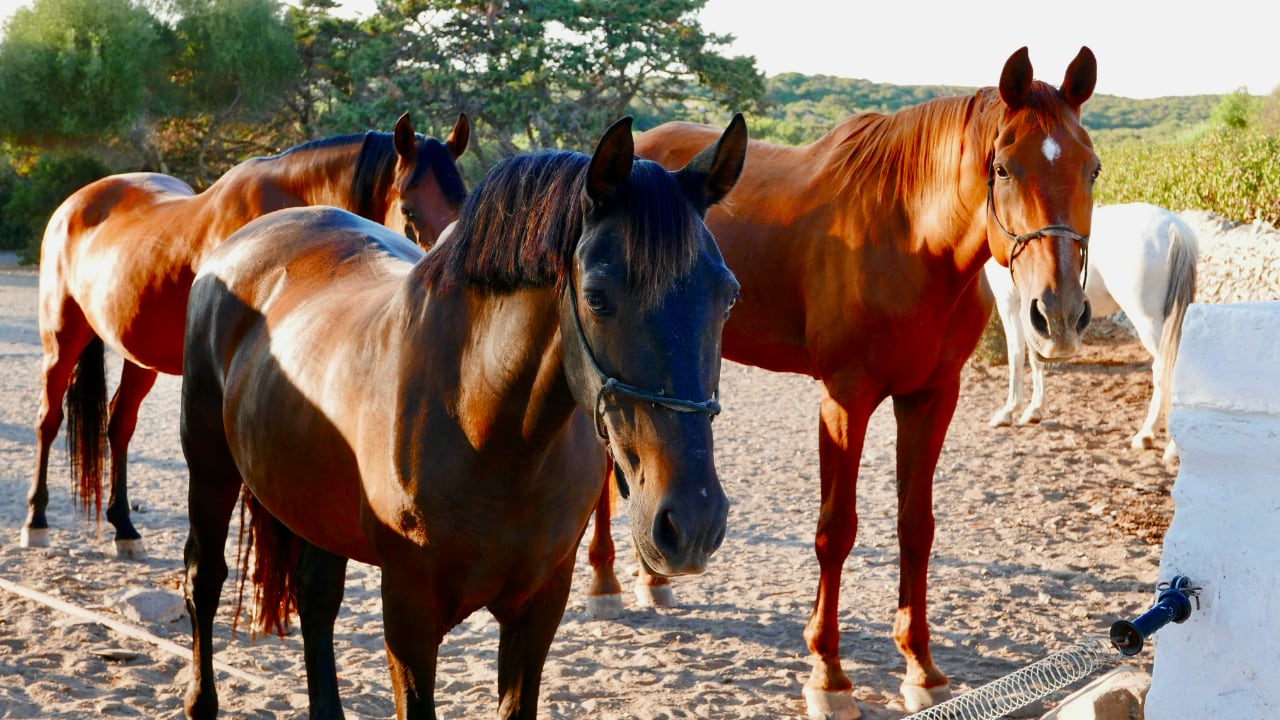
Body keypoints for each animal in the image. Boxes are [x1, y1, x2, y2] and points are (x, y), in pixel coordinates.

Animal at [25, 112, 469, 559]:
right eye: (409, 210)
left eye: (464, 204)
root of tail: (74, 203)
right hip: (62, 339)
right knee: (49, 419)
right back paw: (36, 520)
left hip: (139, 355)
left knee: (119, 424)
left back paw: (125, 527)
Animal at [178, 114, 749, 719]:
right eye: (596, 297)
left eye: (728, 296)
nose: (692, 521)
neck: (493, 434)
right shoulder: (409, 614)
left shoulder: (539, 609)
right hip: (210, 467)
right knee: (204, 577)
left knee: (316, 596)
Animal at [589, 47, 1100, 718]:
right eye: (1003, 168)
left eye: (1092, 169)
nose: (1058, 314)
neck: (911, 238)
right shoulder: (845, 400)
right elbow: (836, 531)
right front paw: (828, 675)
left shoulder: (930, 397)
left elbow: (916, 527)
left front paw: (921, 667)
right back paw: (604, 580)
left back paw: (652, 578)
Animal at [985, 202, 1198, 460]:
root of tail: (1173, 227)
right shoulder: (1035, 313)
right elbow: (1036, 360)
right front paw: (1034, 410)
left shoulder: (1010, 304)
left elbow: (1016, 357)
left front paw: (1008, 412)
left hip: (1148, 321)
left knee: (1165, 369)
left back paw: (1154, 439)